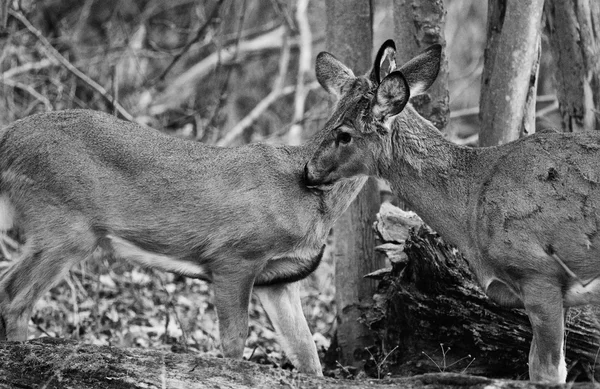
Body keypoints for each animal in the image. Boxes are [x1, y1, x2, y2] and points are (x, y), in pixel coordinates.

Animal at [0, 43, 398, 376]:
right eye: (346, 130)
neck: (309, 197)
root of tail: (7, 140)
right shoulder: (234, 256)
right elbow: (234, 344)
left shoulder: (279, 280)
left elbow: (307, 354)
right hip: (64, 225)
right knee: (15, 301)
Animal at [302, 40, 600, 382]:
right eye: (329, 118)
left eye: (344, 134)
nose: (308, 171)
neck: (472, 204)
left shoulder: (539, 272)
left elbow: (547, 372)